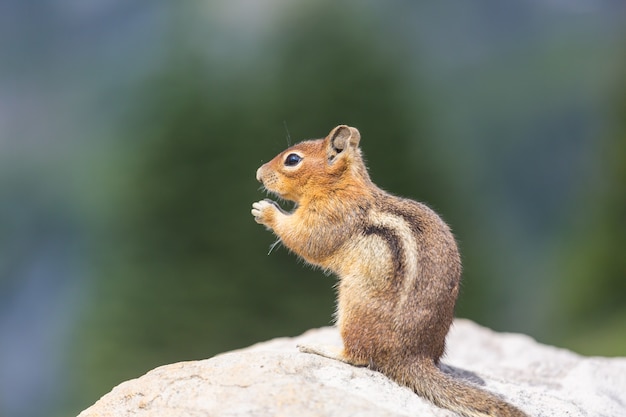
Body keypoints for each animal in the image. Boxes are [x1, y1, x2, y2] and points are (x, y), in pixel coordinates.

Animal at [251, 125, 524, 414]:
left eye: (292, 159)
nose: (258, 173)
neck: (339, 185)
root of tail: (411, 356)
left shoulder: (331, 216)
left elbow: (306, 239)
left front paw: (265, 211)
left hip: (353, 303)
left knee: (358, 357)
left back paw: (320, 347)